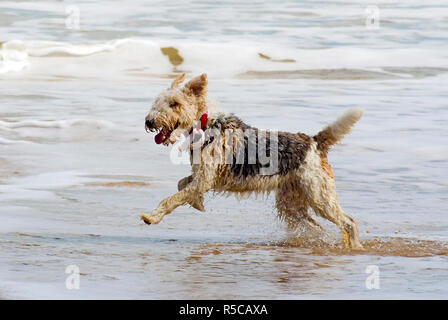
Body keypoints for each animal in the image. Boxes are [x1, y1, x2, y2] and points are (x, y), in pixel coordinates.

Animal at [144, 74, 364, 249]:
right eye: (157, 102)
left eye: (174, 103)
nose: (149, 121)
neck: (205, 124)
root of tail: (315, 141)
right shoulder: (201, 176)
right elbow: (181, 184)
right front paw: (197, 203)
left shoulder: (205, 179)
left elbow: (171, 198)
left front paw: (152, 217)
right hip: (292, 204)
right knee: (317, 227)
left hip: (319, 196)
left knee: (349, 222)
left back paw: (355, 248)